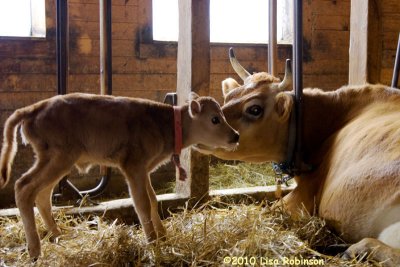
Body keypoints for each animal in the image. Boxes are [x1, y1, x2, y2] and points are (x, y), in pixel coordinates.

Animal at [0, 92, 239, 260]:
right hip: (59, 156)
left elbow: (153, 200)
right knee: (24, 187)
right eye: (215, 119)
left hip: (55, 159)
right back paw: (35, 249)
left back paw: (59, 235)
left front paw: (163, 235)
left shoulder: (144, 168)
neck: (165, 125)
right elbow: (142, 203)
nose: (235, 136)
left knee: (42, 195)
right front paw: (152, 241)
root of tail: (34, 107)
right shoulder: (133, 165)